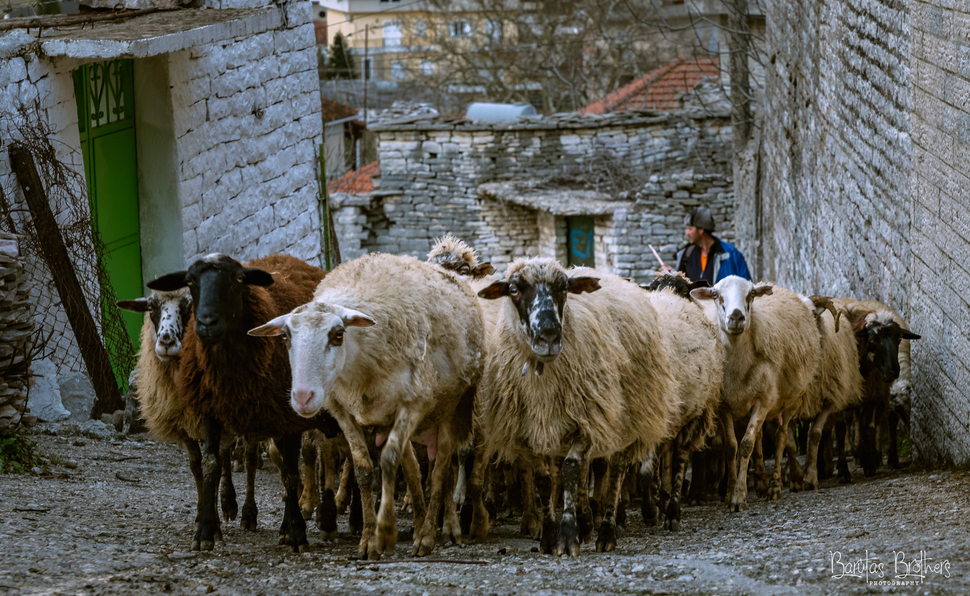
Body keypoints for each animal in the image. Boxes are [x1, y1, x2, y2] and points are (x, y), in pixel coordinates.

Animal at [246, 253, 480, 560]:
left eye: (337, 334)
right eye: (285, 337)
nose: (303, 397)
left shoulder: (412, 405)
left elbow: (390, 462)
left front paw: (386, 532)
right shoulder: (343, 410)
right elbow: (364, 469)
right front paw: (369, 539)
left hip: (453, 405)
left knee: (442, 467)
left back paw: (434, 532)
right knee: (414, 467)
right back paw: (419, 523)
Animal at [474, 256, 672, 556]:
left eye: (564, 288)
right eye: (514, 289)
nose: (549, 337)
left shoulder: (586, 418)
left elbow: (570, 469)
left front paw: (568, 537)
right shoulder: (532, 431)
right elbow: (545, 480)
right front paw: (549, 535)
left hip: (627, 416)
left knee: (615, 471)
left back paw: (607, 531)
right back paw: (587, 523)